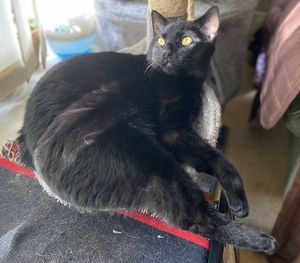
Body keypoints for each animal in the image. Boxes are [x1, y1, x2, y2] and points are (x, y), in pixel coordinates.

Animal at [18, 6, 278, 256]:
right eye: (161, 40)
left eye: (187, 40)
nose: (167, 52)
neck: (182, 82)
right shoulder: (172, 131)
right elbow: (216, 158)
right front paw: (241, 207)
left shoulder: (179, 132)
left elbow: (215, 158)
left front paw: (238, 202)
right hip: (149, 160)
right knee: (194, 218)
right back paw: (263, 241)